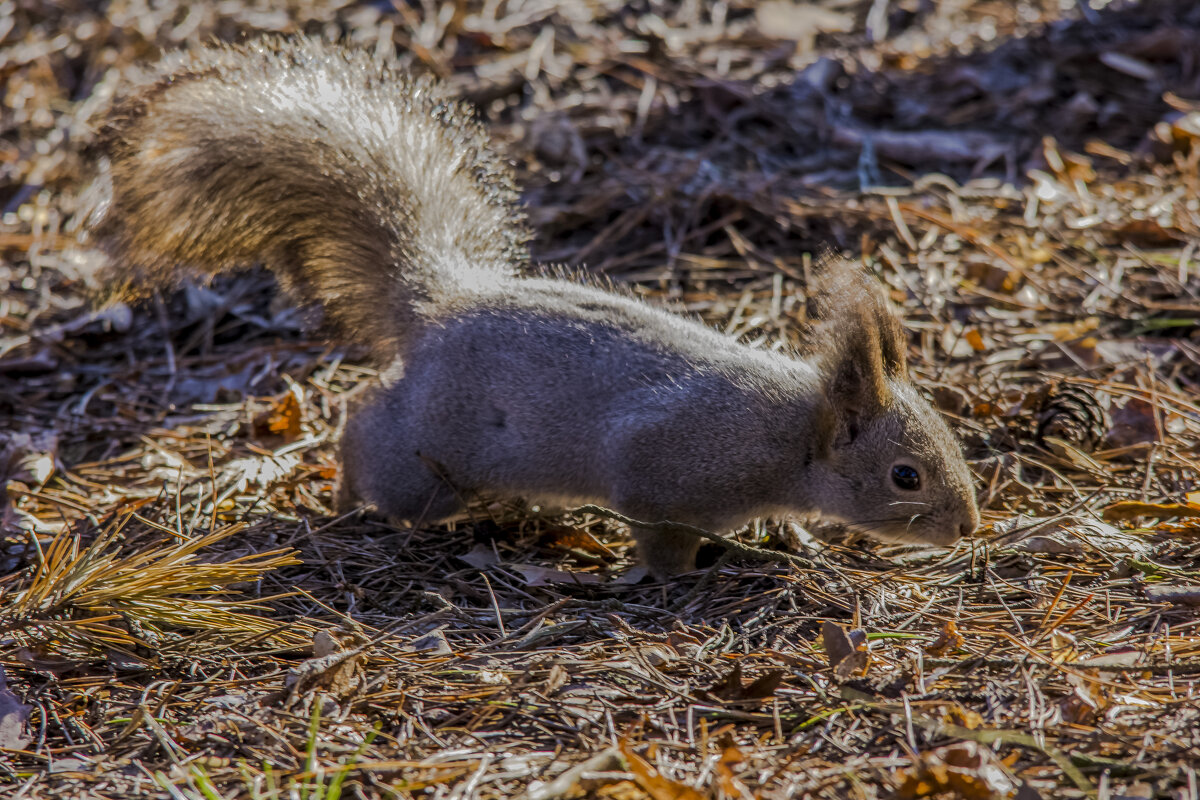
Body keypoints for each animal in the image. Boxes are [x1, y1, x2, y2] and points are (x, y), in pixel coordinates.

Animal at [87, 38, 984, 575]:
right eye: (905, 476)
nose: (969, 526)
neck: (789, 435)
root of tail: (443, 302)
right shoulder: (658, 466)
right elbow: (660, 535)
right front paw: (681, 570)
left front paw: (792, 534)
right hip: (429, 459)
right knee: (368, 430)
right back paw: (343, 493)